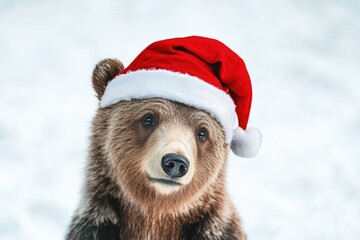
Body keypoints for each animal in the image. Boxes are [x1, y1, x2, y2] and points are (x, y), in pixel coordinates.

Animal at [65, 36, 262, 240]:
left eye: (202, 133)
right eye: (148, 119)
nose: (175, 162)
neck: (155, 215)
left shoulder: (215, 229)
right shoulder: (96, 226)